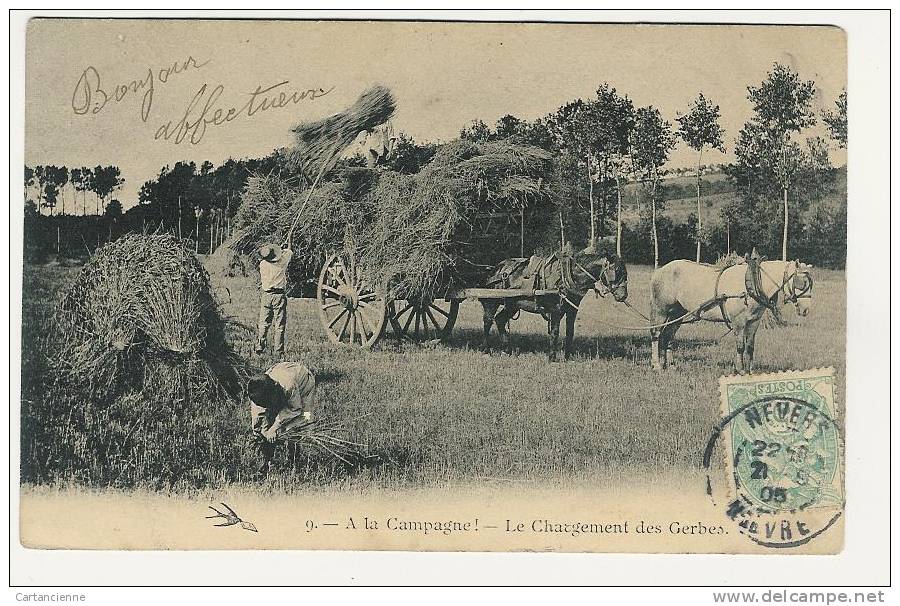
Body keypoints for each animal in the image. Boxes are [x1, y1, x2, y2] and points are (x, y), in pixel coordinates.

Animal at [478, 246, 624, 364]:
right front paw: (552, 358)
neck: (567, 276)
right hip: (491, 301)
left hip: (512, 304)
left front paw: (567, 357)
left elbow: (570, 332)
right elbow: (554, 332)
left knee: (500, 320)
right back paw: (487, 351)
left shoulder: (572, 310)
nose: (623, 295)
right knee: (487, 322)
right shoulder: (556, 310)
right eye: (617, 270)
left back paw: (506, 351)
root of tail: (495, 269)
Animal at [648, 258, 816, 372]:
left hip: (678, 312)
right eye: (800, 283)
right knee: (656, 334)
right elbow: (740, 346)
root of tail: (659, 271)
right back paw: (656, 365)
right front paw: (739, 369)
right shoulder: (739, 323)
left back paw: (670, 364)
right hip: (661, 309)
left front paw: (750, 370)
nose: (806, 310)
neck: (751, 284)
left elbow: (750, 346)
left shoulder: (753, 322)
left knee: (669, 335)